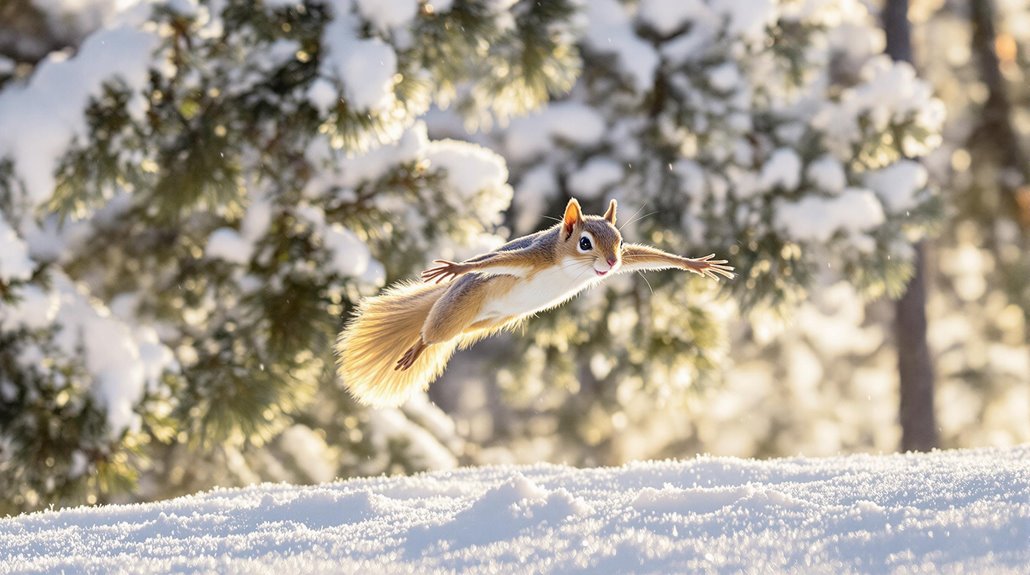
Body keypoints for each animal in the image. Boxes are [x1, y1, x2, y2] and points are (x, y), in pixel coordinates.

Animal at [335, 200, 733, 408]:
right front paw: (456, 266)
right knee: (428, 333)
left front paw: (696, 264)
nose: (611, 264)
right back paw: (415, 347)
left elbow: (650, 256)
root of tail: (449, 299)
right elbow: (491, 262)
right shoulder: (533, 258)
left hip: (483, 323)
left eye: (620, 242)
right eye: (585, 243)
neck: (568, 264)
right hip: (455, 310)